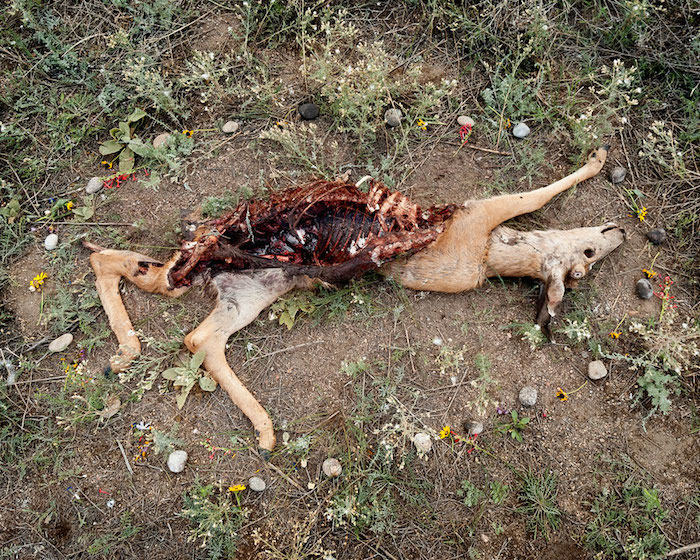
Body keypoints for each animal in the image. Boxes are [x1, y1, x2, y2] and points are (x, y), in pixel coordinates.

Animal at [85, 146, 624, 456]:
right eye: (587, 256)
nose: (618, 230)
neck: (491, 256)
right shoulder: (478, 212)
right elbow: (537, 195)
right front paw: (597, 158)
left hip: (249, 288)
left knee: (193, 331)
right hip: (220, 256)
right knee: (140, 273)